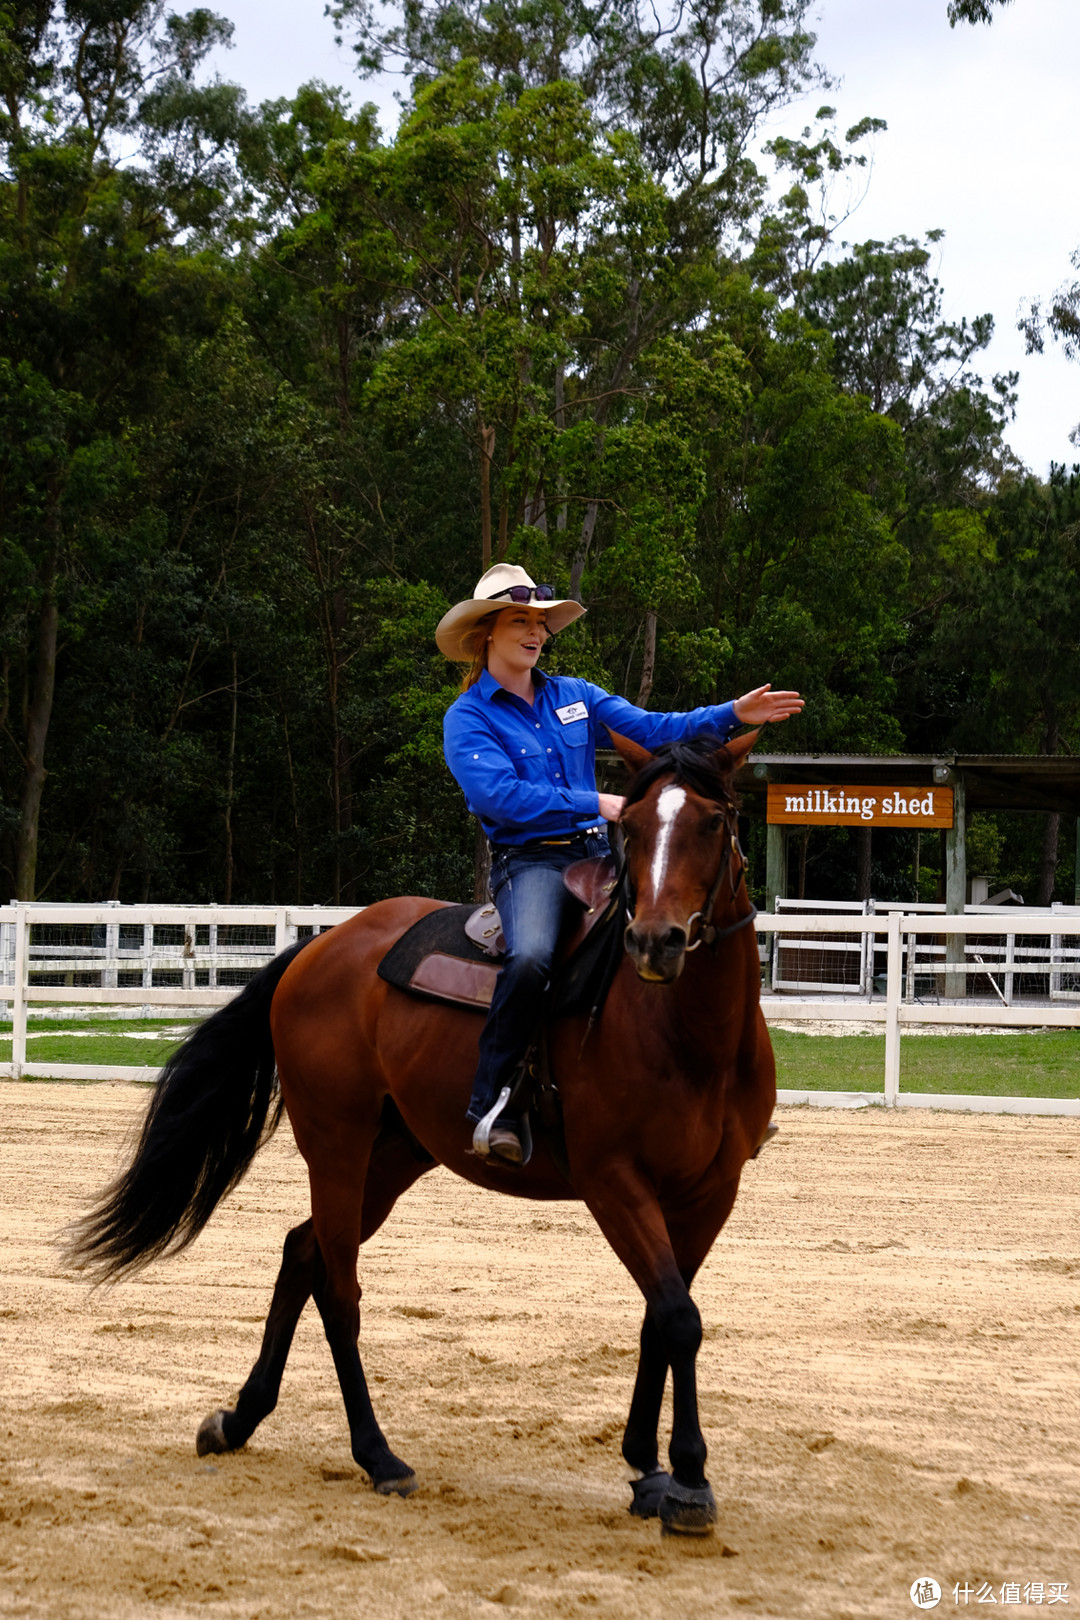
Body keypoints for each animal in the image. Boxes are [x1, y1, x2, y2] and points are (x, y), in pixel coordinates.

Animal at [67, 729, 773, 1535]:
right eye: (632, 826)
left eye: (712, 824)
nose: (654, 941)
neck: (687, 1038)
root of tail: (318, 949)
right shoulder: (615, 1183)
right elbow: (680, 1317)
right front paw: (687, 1480)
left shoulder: (710, 1191)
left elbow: (663, 1315)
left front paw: (647, 1469)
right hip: (335, 1144)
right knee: (339, 1287)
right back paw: (378, 1457)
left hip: (398, 1152)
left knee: (301, 1252)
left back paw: (240, 1420)